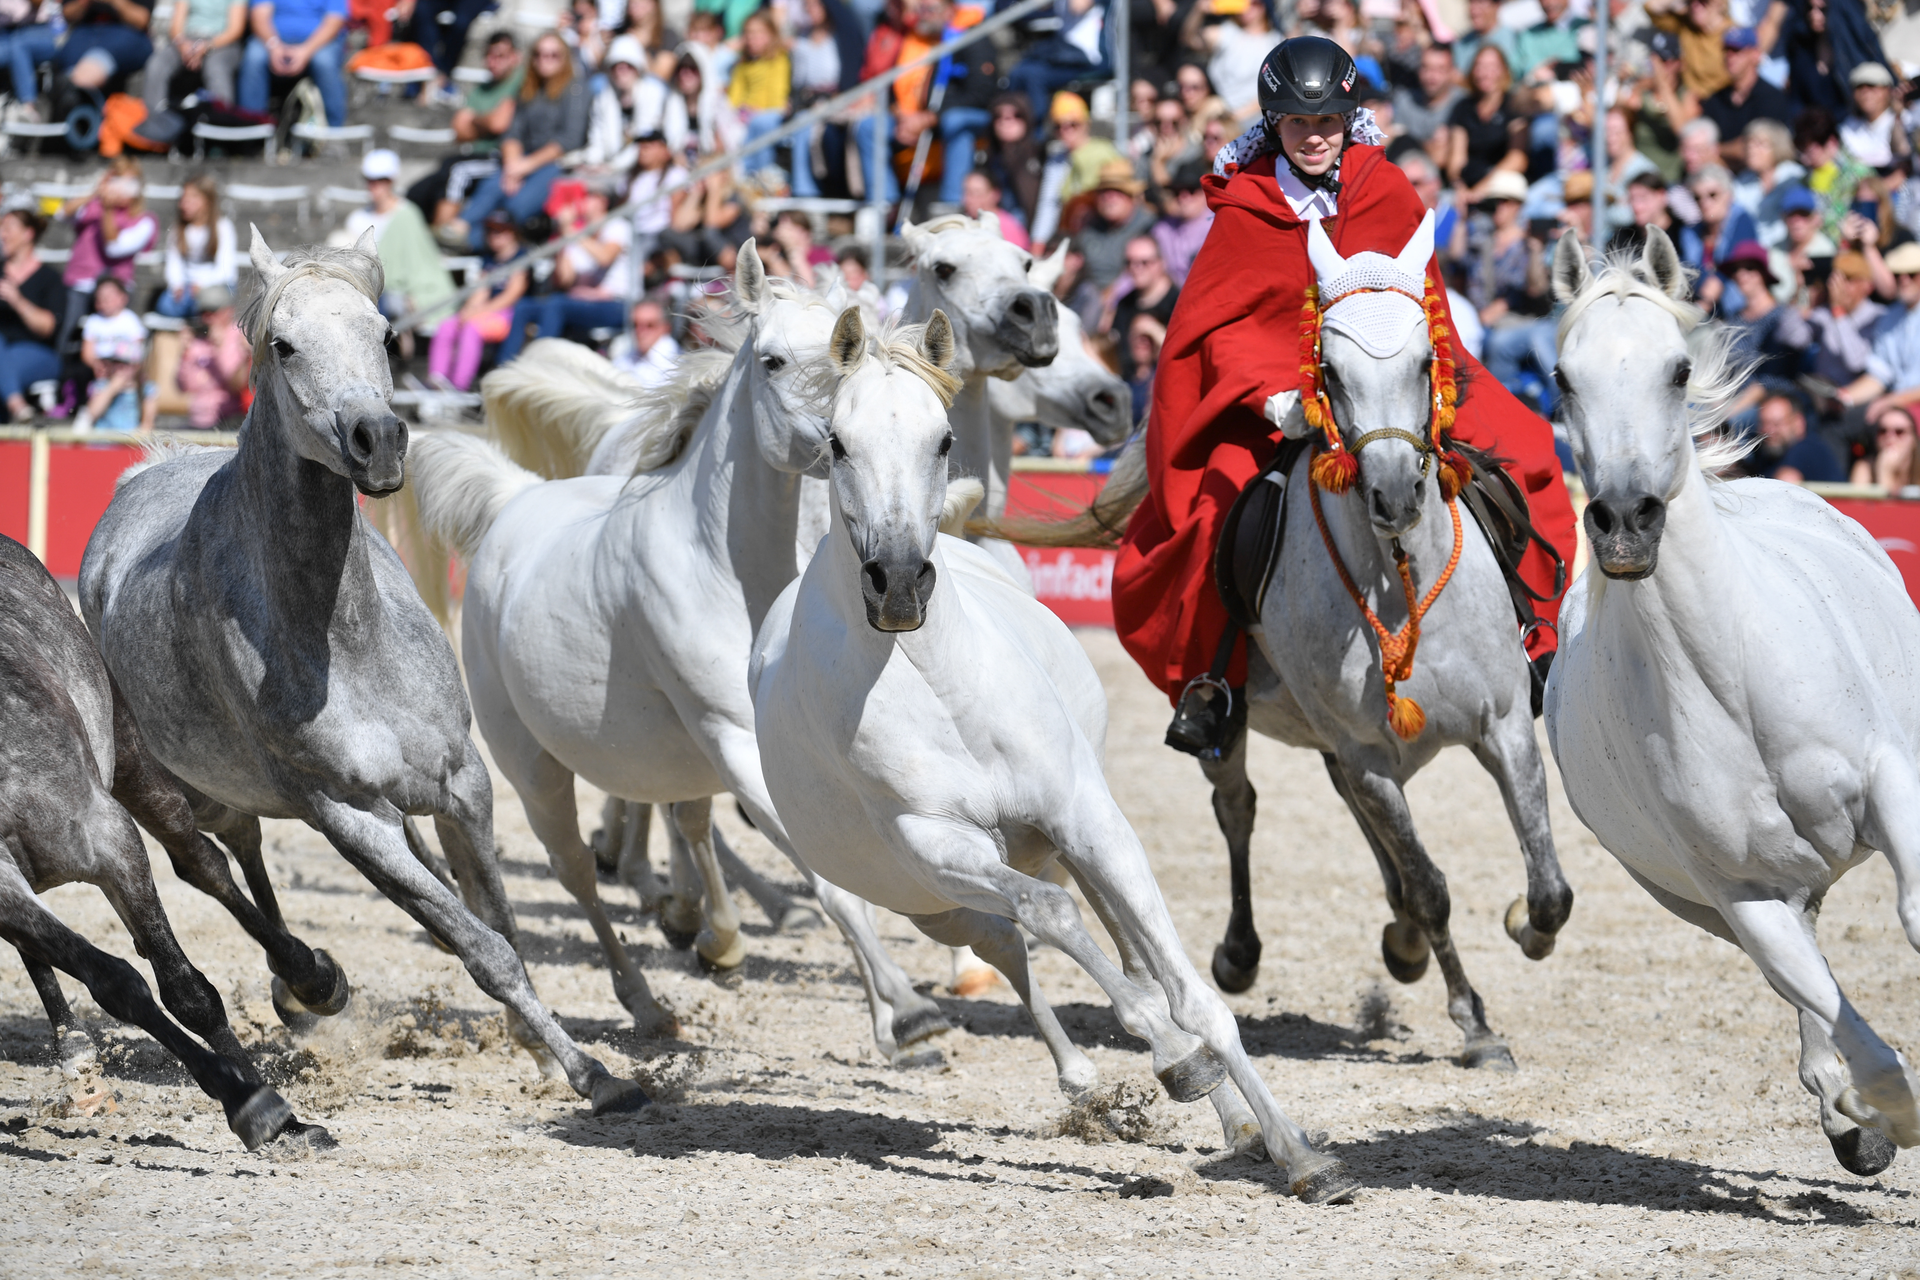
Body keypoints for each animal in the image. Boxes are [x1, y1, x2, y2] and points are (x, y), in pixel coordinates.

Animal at [410, 242, 952, 1059]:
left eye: (845, 348)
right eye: (772, 359)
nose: (895, 575)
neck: (724, 569)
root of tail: (516, 498)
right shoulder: (735, 738)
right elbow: (824, 878)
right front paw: (908, 1009)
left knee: (685, 825)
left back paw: (705, 936)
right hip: (533, 769)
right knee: (577, 873)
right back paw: (641, 1002)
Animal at [744, 305, 1351, 1205]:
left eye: (943, 439)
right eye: (839, 443)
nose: (899, 583)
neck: (938, 686)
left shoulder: (1086, 818)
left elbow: (1190, 991)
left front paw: (1298, 1153)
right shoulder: (941, 846)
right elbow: (1056, 923)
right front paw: (1171, 1057)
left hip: (1055, 845)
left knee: (1102, 941)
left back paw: (1228, 1120)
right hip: (934, 898)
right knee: (1013, 945)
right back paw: (1097, 1076)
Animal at [1543, 227, 1920, 1174]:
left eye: (1678, 369)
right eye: (1563, 376)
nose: (1625, 522)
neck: (1734, 681)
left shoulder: (1892, 783)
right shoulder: (1739, 894)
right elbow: (1846, 1029)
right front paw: (1873, 1117)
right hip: (1708, 900)